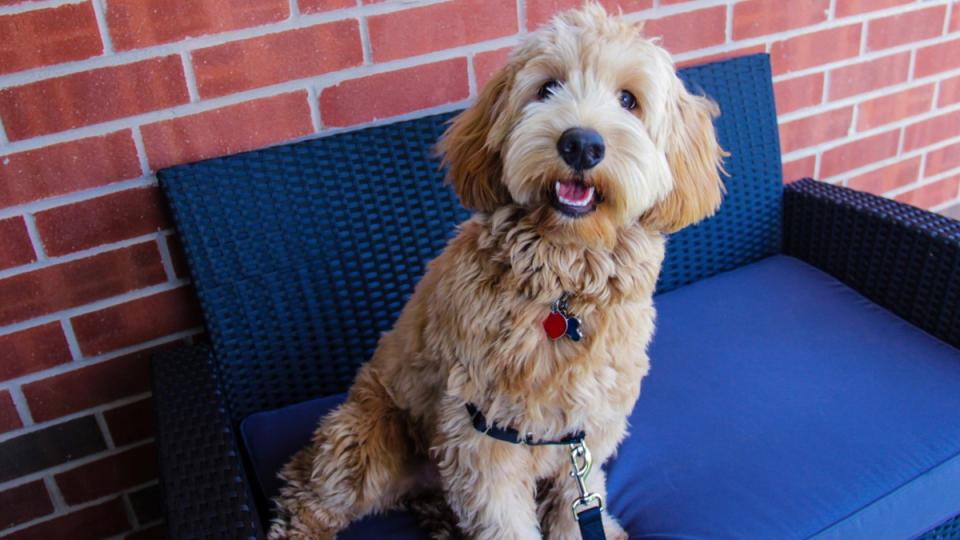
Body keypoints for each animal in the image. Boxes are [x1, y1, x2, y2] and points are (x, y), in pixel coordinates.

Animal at [268, 3, 720, 536]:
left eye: (629, 100)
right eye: (547, 88)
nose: (581, 144)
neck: (562, 285)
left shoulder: (587, 434)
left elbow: (576, 502)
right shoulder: (482, 437)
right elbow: (504, 521)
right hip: (366, 436)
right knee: (307, 493)